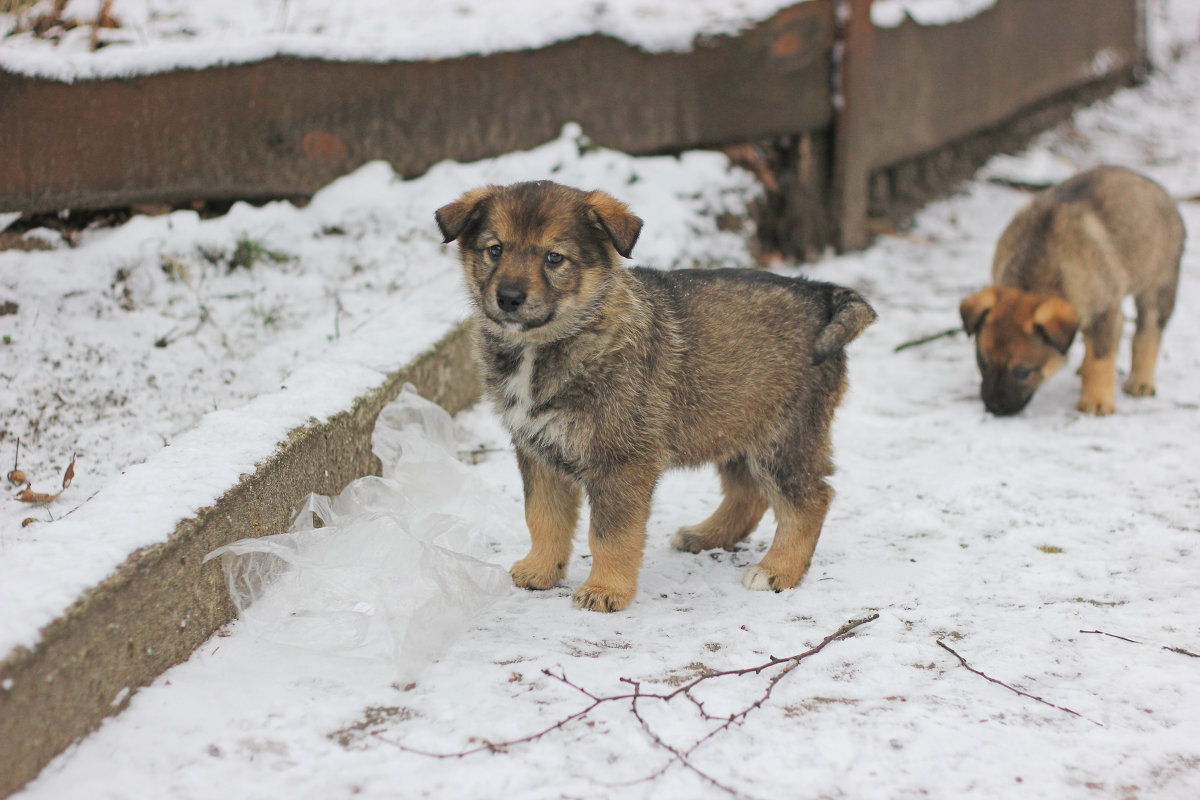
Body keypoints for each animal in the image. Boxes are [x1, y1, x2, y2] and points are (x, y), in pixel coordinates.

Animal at [436, 181, 878, 614]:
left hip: (785, 435)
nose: (509, 298)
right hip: (733, 420)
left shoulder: (621, 461)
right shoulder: (537, 449)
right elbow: (543, 516)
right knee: (748, 492)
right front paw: (541, 569)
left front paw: (605, 589)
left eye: (554, 258)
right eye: (495, 250)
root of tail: (821, 293)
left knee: (810, 500)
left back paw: (777, 570)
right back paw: (707, 535)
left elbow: (610, 534)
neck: (550, 343)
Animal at [960, 165, 1185, 417]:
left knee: (1148, 332)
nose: (993, 408)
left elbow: (1100, 360)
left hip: (1158, 286)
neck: (1033, 277)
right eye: (982, 363)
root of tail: (1157, 188)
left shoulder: (1104, 313)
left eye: (1022, 372)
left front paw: (1096, 399)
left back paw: (1140, 380)